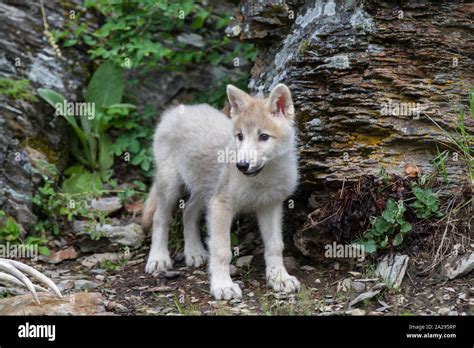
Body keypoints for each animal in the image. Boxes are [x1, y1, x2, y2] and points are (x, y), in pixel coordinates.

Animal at [143, 83, 302, 300]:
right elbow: (221, 250)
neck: (262, 178)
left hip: (205, 190)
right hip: (171, 185)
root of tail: (176, 110)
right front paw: (223, 285)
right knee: (160, 218)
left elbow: (275, 246)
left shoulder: (270, 206)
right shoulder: (221, 205)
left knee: (188, 212)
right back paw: (158, 258)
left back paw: (194, 252)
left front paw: (279, 278)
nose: (241, 165)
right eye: (240, 136)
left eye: (264, 137)